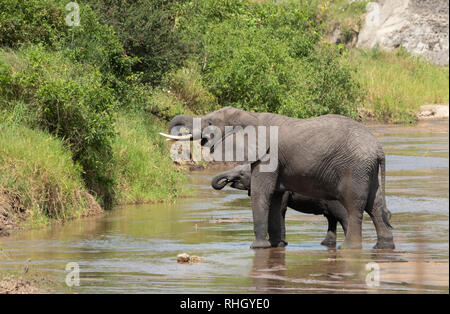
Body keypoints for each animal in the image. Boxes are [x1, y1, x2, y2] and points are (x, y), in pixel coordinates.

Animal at [211, 164, 348, 248]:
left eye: (241, 174)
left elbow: (280, 209)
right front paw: (282, 244)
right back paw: (326, 244)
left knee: (343, 218)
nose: (226, 180)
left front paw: (279, 245)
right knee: (331, 219)